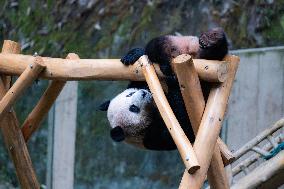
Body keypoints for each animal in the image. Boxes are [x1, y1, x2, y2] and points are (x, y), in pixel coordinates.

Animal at [100, 27, 229, 151]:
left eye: (130, 94)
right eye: (133, 108)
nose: (143, 93)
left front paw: (133, 55)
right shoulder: (155, 137)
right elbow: (182, 122)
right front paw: (173, 82)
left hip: (181, 43)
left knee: (156, 46)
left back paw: (210, 39)